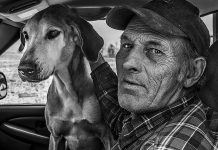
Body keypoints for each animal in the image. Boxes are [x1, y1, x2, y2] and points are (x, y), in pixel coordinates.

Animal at [17, 4, 110, 150]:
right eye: (25, 35)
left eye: (53, 33)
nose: (24, 69)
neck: (68, 90)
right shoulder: (55, 136)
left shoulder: (106, 134)